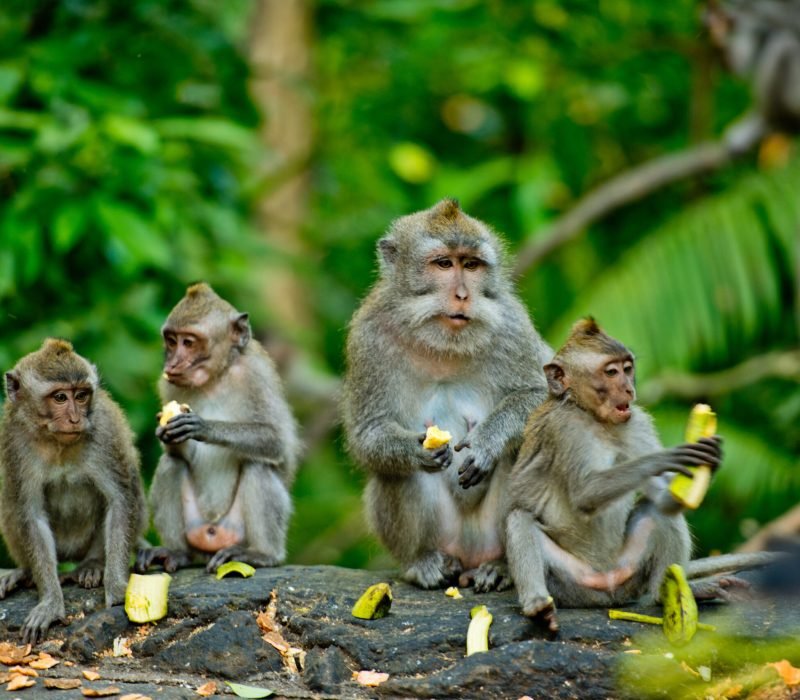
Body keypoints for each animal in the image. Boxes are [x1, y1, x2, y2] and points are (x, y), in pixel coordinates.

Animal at [0, 339, 146, 644]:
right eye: (59, 398)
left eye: (80, 396)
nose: (76, 418)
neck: (56, 442)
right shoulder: (14, 438)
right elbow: (31, 515)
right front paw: (51, 603)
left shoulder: (103, 431)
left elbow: (119, 500)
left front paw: (117, 588)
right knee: (10, 499)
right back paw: (23, 572)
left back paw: (92, 565)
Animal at [136, 283, 300, 575]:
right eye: (171, 341)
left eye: (189, 342)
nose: (172, 364)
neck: (215, 378)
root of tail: (212, 533)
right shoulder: (168, 385)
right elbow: (176, 454)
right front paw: (166, 434)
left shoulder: (256, 375)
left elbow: (276, 441)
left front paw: (203, 426)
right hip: (196, 528)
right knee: (171, 464)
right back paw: (177, 553)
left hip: (236, 530)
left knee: (258, 465)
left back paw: (262, 554)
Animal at [341, 198, 552, 591]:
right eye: (443, 264)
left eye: (470, 265)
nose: (463, 295)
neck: (442, 344)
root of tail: (469, 554)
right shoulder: (368, 337)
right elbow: (369, 433)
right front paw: (415, 449)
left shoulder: (512, 325)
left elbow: (542, 397)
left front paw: (487, 442)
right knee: (394, 473)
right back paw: (423, 562)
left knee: (524, 450)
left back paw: (502, 566)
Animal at [504, 319, 779, 632]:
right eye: (610, 372)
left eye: (627, 368)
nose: (628, 390)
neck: (593, 417)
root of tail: (607, 586)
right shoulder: (563, 429)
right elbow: (585, 493)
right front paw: (665, 458)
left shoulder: (636, 422)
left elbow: (664, 500)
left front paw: (711, 459)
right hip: (570, 583)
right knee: (519, 519)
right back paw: (538, 605)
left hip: (630, 572)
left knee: (658, 512)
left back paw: (668, 593)